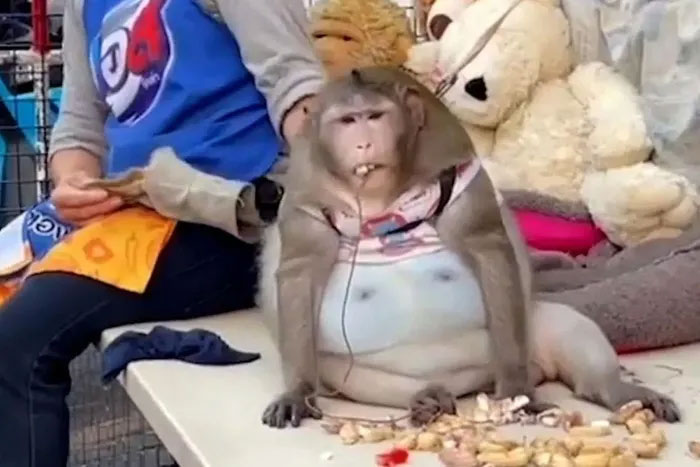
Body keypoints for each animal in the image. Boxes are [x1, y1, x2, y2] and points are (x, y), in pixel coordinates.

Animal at [258, 66, 680, 429]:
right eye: (347, 121)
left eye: (373, 116)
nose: (362, 143)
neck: (384, 200)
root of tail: (470, 385)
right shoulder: (304, 195)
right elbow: (300, 272)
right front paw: (297, 392)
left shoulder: (457, 166)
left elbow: (489, 251)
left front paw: (516, 391)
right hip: (358, 374)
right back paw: (426, 400)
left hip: (526, 335)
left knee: (562, 326)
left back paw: (616, 391)